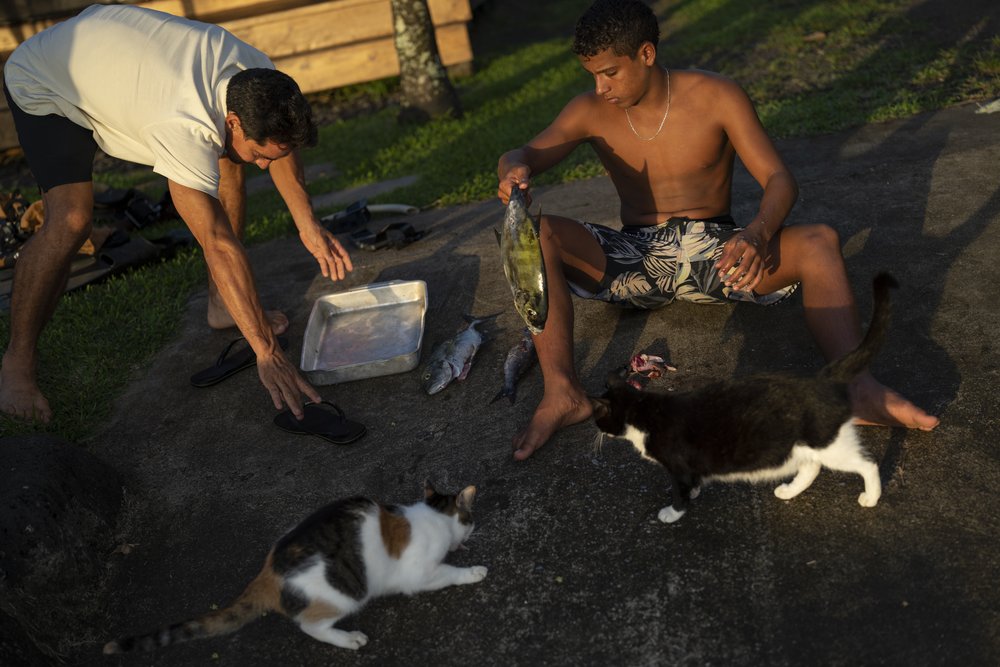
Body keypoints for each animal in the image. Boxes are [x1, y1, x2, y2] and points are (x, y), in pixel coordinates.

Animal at [103, 482, 486, 656]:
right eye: (470, 518)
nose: (472, 530)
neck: (434, 516)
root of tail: (268, 574)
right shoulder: (419, 574)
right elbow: (448, 573)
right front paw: (474, 571)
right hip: (345, 593)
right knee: (310, 625)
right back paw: (348, 638)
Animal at [588, 274, 896, 524]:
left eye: (598, 418)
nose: (596, 430)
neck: (645, 412)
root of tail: (825, 377)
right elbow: (694, 482)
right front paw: (695, 492)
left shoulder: (677, 467)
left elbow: (679, 491)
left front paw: (672, 513)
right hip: (802, 445)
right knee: (812, 466)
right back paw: (788, 490)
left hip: (828, 442)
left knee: (866, 464)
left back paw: (870, 497)